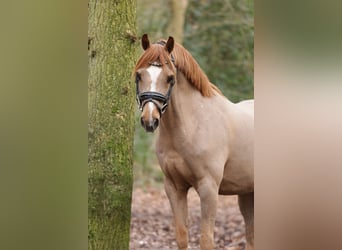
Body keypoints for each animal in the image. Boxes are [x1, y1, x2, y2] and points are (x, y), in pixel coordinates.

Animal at [134, 33, 254, 250]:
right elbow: (182, 236)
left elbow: (206, 240)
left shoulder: (209, 188)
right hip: (247, 193)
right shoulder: (174, 187)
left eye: (170, 78)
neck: (192, 124)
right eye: (139, 75)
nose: (149, 120)